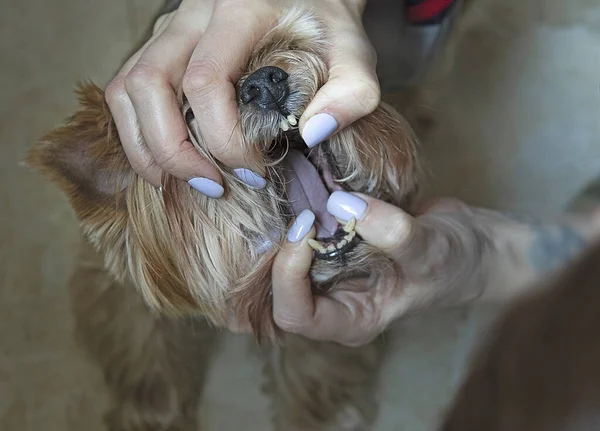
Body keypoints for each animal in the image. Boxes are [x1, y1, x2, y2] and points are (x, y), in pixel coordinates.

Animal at [27, 4, 422, 431]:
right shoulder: (122, 293)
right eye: (188, 118)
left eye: (282, 46)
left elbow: (316, 365)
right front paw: (153, 417)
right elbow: (148, 361)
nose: (263, 83)